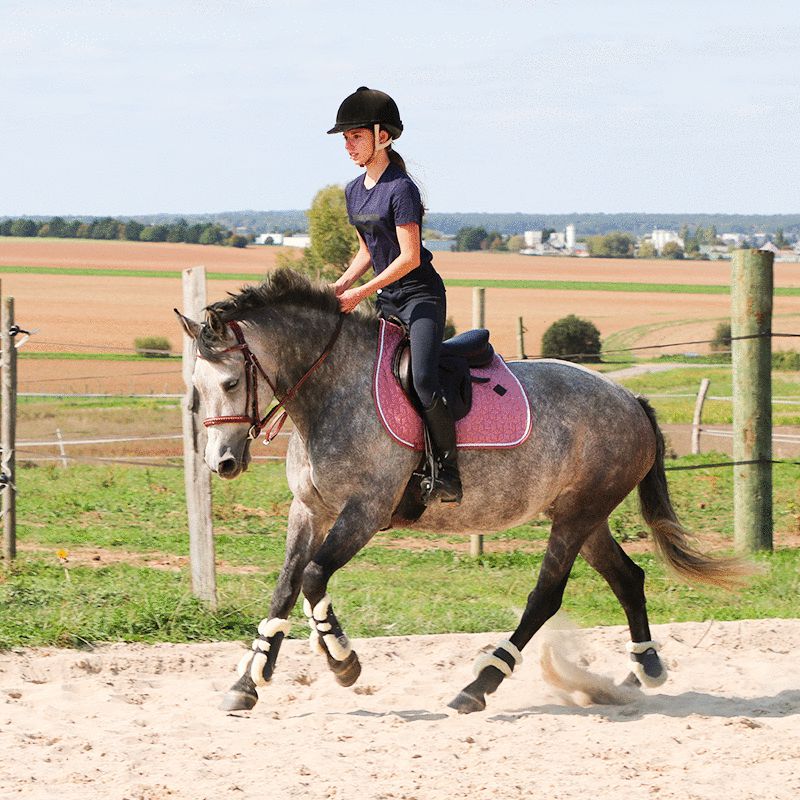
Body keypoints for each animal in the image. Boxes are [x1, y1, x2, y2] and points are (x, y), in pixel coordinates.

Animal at [176, 267, 745, 714]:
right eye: (196, 389)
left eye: (230, 383)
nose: (223, 463)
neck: (331, 392)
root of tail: (630, 398)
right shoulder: (309, 511)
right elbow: (286, 588)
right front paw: (247, 683)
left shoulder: (365, 510)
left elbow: (314, 577)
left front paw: (343, 661)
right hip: (584, 515)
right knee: (628, 578)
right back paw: (643, 669)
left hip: (578, 515)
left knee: (546, 595)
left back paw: (479, 685)